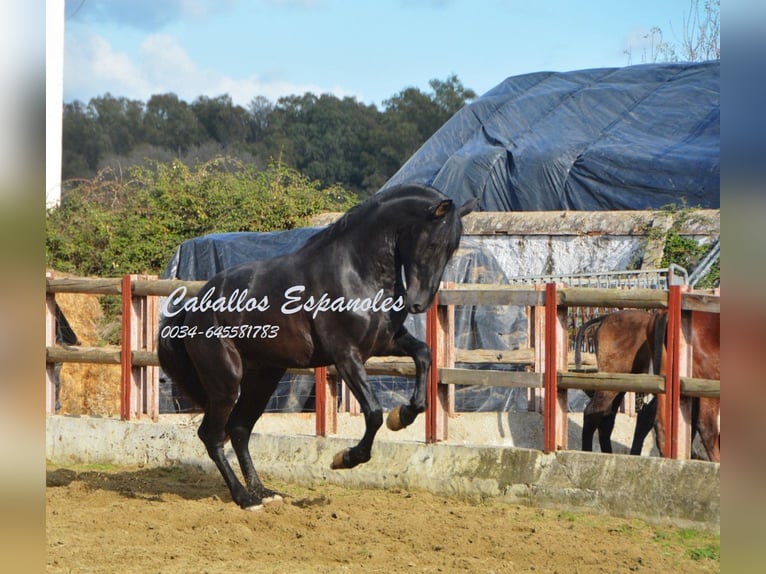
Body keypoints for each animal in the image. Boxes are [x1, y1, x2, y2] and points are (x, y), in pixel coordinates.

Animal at [159, 183, 476, 508]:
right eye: (432, 244)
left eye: (452, 250)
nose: (418, 304)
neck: (356, 270)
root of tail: (194, 305)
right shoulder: (346, 356)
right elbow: (373, 413)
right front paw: (345, 458)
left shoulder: (385, 342)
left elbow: (424, 355)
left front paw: (401, 417)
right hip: (225, 381)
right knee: (211, 435)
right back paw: (245, 498)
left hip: (263, 378)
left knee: (239, 429)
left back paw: (264, 492)